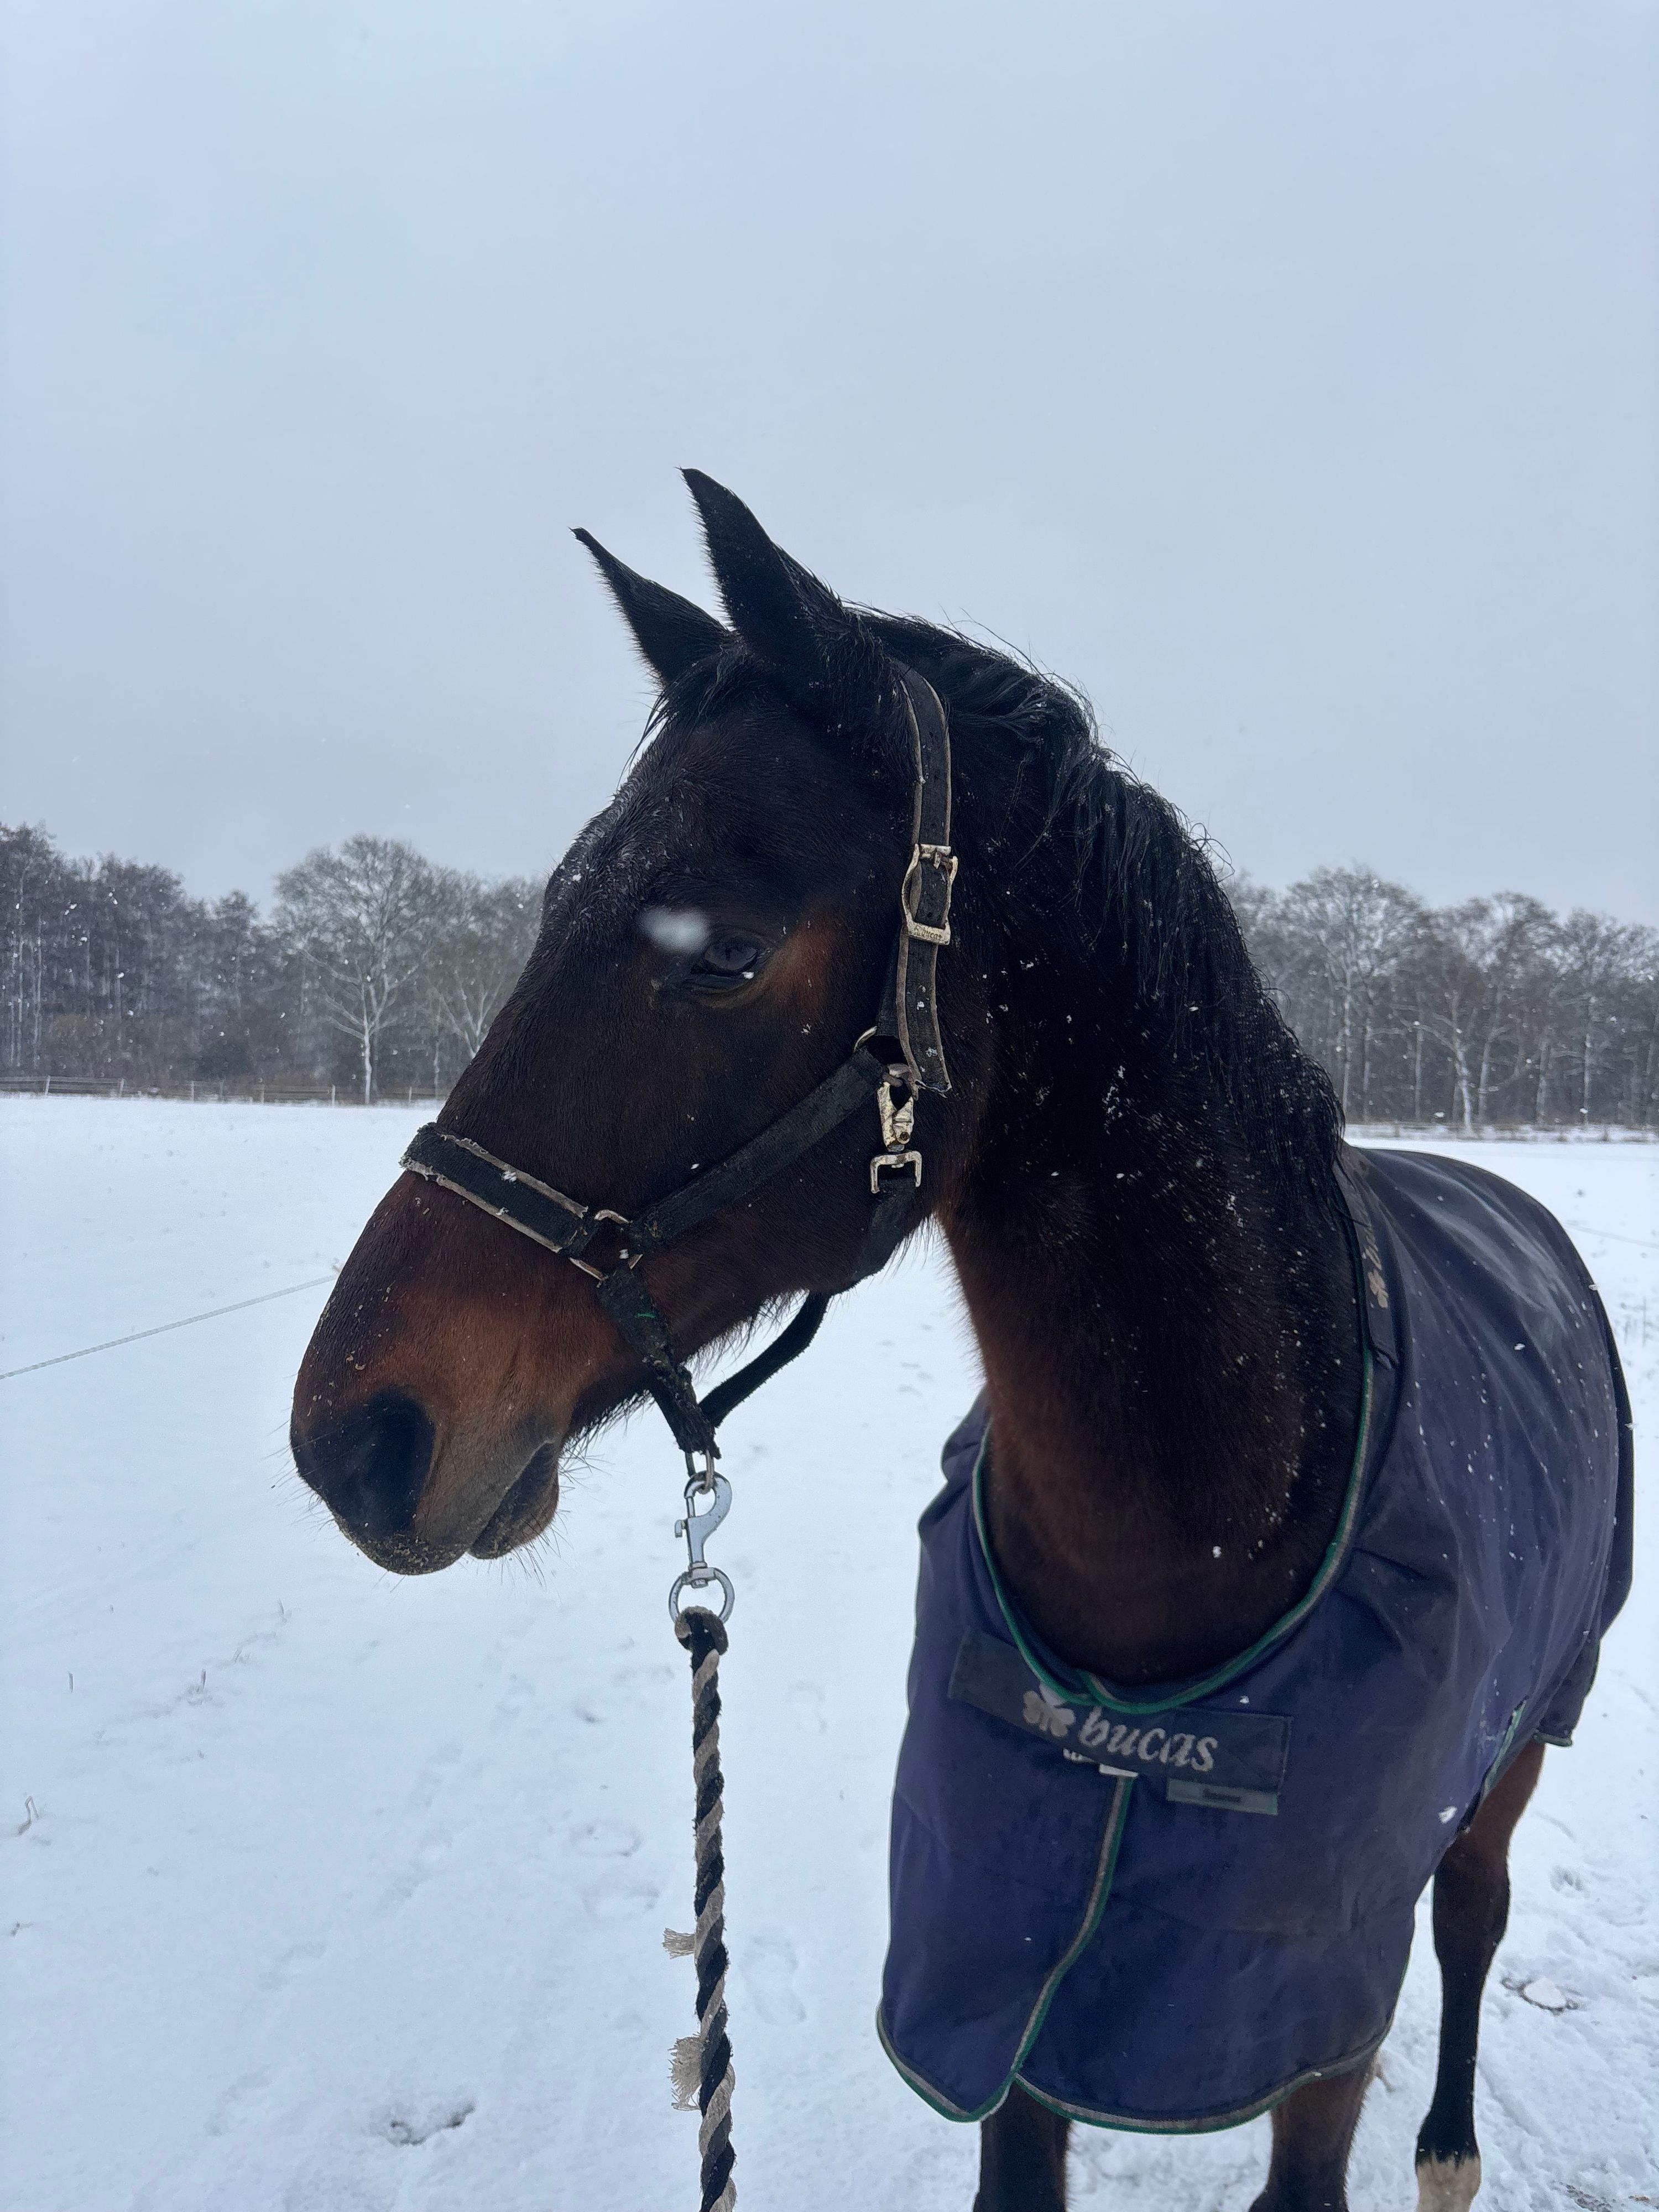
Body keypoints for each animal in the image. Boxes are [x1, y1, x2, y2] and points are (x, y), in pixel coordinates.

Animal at [290, 474, 1631, 2212]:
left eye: (722, 947)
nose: (354, 1435)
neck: (1173, 1568)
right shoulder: (1002, 2007)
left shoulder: (1312, 2035)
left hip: (1523, 1738)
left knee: (1473, 1912)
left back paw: (1453, 2146)